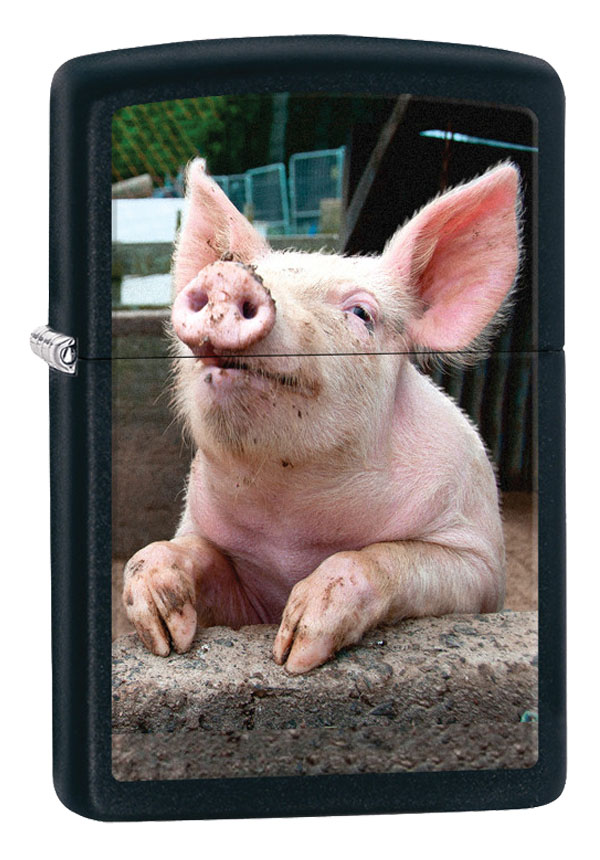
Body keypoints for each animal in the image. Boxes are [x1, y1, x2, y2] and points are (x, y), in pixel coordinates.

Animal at [123, 157, 521, 675]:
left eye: (361, 313)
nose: (228, 277)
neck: (294, 523)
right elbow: (186, 553)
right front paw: (164, 635)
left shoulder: (479, 562)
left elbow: (387, 557)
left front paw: (294, 652)